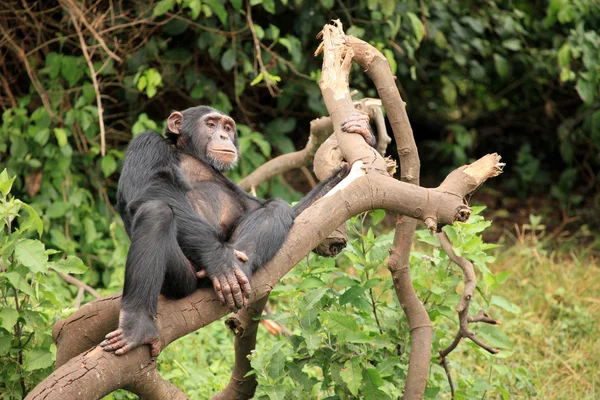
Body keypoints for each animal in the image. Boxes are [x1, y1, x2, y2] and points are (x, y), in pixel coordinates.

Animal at [101, 104, 378, 354]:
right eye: (210, 124)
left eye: (227, 127)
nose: (224, 136)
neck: (191, 155)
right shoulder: (145, 143)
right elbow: (148, 189)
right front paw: (220, 261)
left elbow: (293, 211)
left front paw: (364, 134)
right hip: (182, 280)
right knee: (156, 213)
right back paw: (137, 327)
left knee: (276, 207)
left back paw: (241, 269)